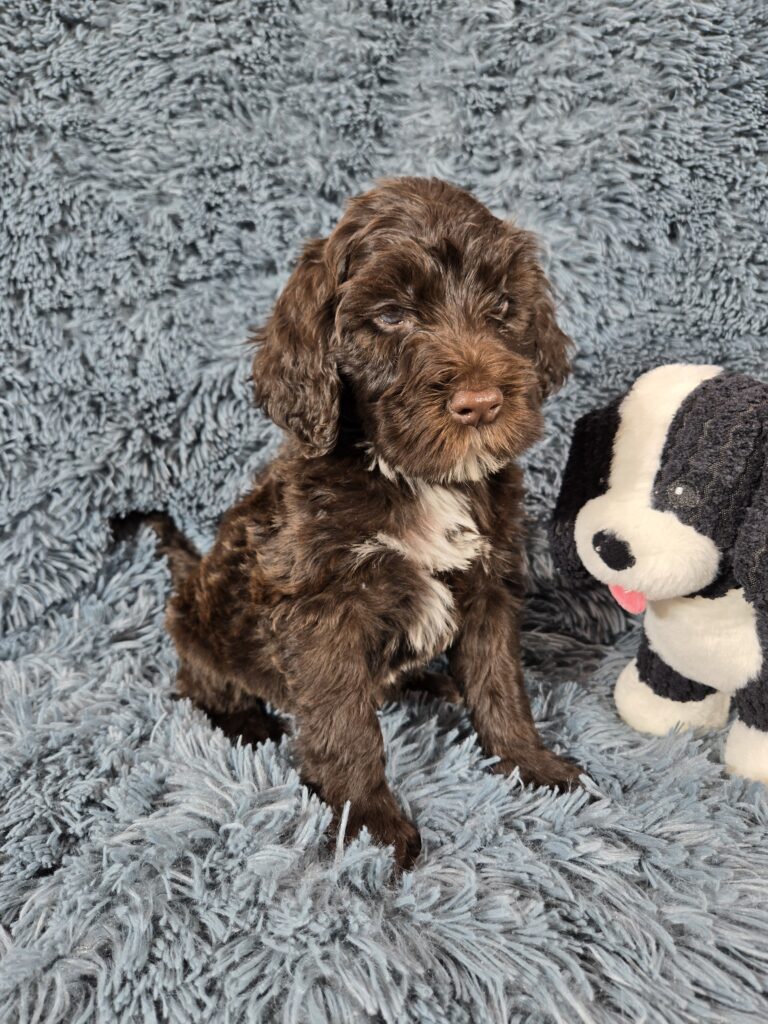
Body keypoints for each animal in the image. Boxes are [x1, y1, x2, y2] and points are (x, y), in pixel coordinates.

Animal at [146, 177, 581, 870]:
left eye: (502, 305)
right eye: (392, 317)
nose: (482, 403)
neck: (414, 475)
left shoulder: (489, 581)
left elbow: (499, 680)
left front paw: (529, 763)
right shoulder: (322, 608)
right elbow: (345, 724)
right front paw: (370, 824)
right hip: (199, 626)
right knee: (199, 684)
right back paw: (246, 724)